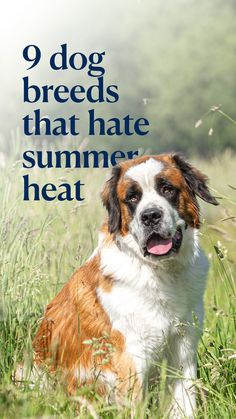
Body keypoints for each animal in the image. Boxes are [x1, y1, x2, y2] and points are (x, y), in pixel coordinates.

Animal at [32, 156, 218, 418]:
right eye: (132, 198)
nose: (150, 216)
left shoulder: (183, 347)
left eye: (167, 189)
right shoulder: (130, 356)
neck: (162, 274)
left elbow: (185, 401)